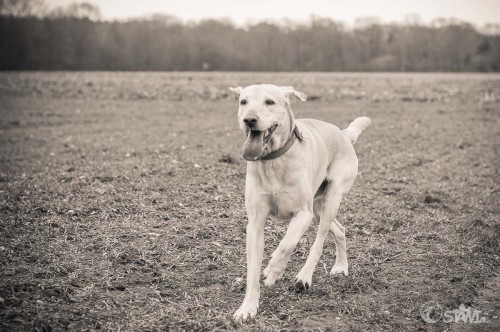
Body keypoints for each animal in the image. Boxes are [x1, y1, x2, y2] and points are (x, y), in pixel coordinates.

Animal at [230, 84, 372, 322]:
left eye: (270, 102)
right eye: (243, 102)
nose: (249, 120)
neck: (273, 160)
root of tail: (343, 134)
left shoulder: (302, 214)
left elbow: (287, 244)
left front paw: (273, 271)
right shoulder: (255, 223)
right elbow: (253, 270)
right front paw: (248, 307)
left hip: (331, 198)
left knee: (319, 241)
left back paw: (304, 277)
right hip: (318, 206)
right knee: (340, 230)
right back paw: (341, 266)